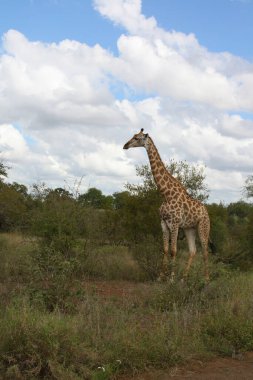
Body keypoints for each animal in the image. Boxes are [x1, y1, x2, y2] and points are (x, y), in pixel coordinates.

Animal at [123, 129, 210, 280]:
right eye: (133, 136)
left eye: (137, 138)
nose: (125, 145)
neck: (166, 194)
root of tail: (206, 212)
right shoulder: (163, 223)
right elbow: (165, 249)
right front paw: (160, 276)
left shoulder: (174, 224)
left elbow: (173, 250)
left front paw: (171, 277)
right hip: (189, 228)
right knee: (193, 251)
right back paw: (183, 278)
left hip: (203, 227)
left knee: (205, 252)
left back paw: (206, 279)